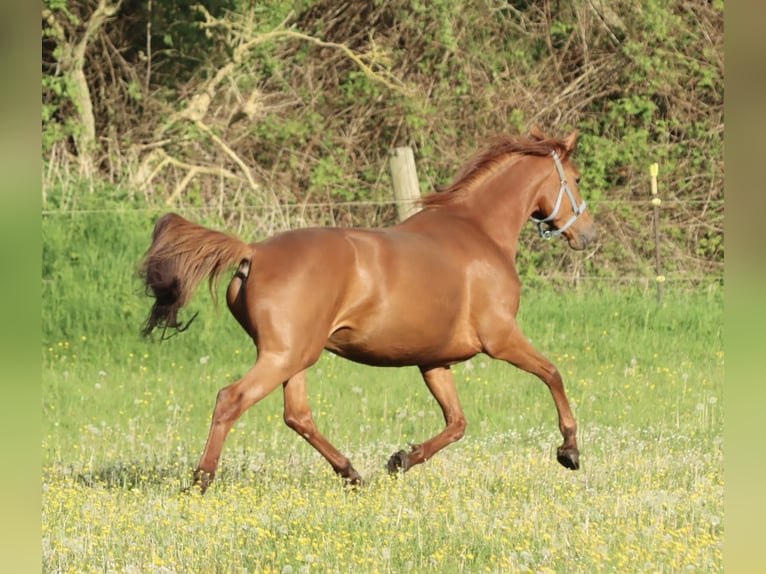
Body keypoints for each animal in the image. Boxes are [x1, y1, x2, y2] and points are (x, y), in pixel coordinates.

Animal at [142, 130, 600, 496]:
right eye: (577, 179)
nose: (589, 235)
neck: (478, 231)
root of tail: (253, 251)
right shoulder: (501, 338)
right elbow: (553, 374)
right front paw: (569, 450)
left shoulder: (434, 361)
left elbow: (457, 422)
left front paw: (401, 459)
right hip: (283, 356)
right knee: (230, 400)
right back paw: (201, 481)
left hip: (295, 357)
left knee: (297, 415)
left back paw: (351, 474)